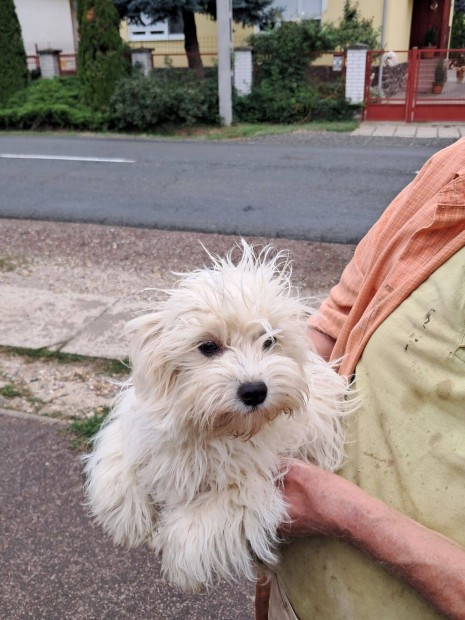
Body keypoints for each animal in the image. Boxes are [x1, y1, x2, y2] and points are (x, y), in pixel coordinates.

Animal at [84, 241, 352, 592]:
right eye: (208, 346)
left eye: (269, 341)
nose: (255, 390)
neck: (214, 429)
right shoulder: (144, 428)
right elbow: (117, 455)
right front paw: (127, 517)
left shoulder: (257, 483)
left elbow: (203, 519)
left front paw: (175, 558)